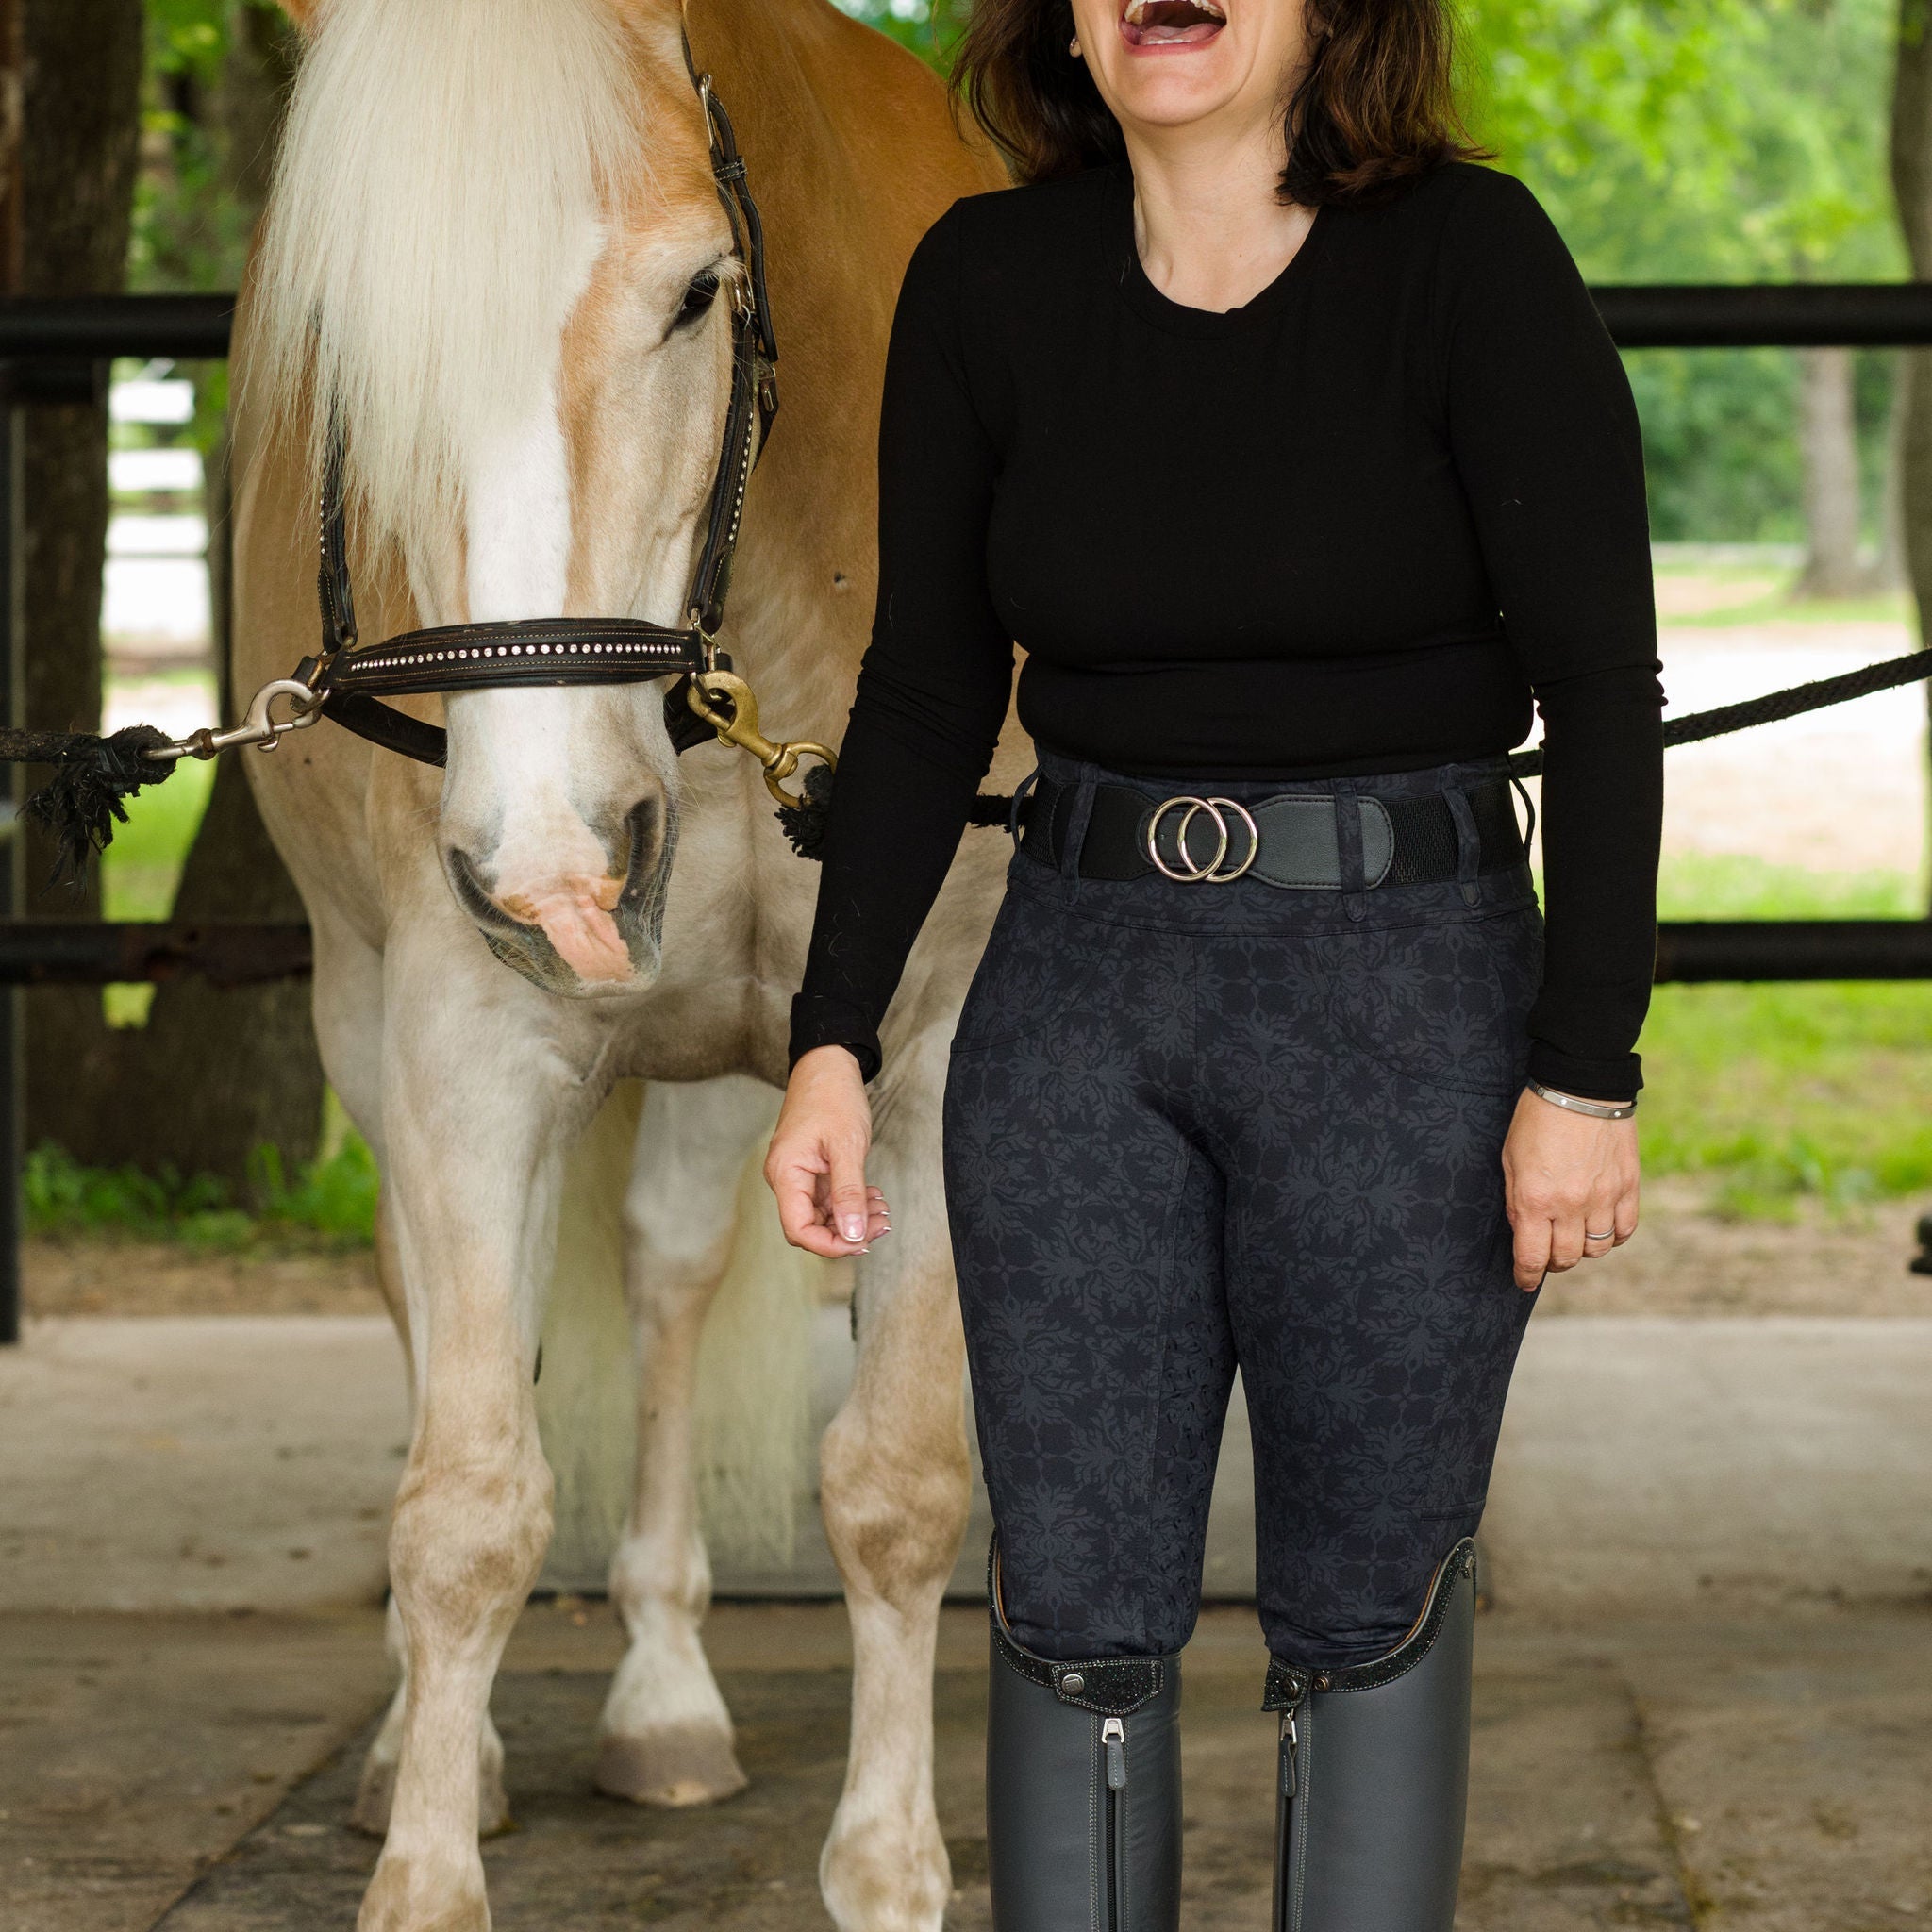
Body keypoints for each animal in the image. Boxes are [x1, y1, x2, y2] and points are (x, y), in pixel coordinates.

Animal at [227, 0, 1012, 1924]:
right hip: (373, 1025)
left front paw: (888, 1867)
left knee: (663, 1277)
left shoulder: (931, 1050)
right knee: (462, 1332)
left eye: (695, 294)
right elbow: (467, 1502)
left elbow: (895, 1483)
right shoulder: (461, 1046)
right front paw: (426, 1864)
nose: (560, 875)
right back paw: (426, 1746)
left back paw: (664, 1698)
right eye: (351, 351)